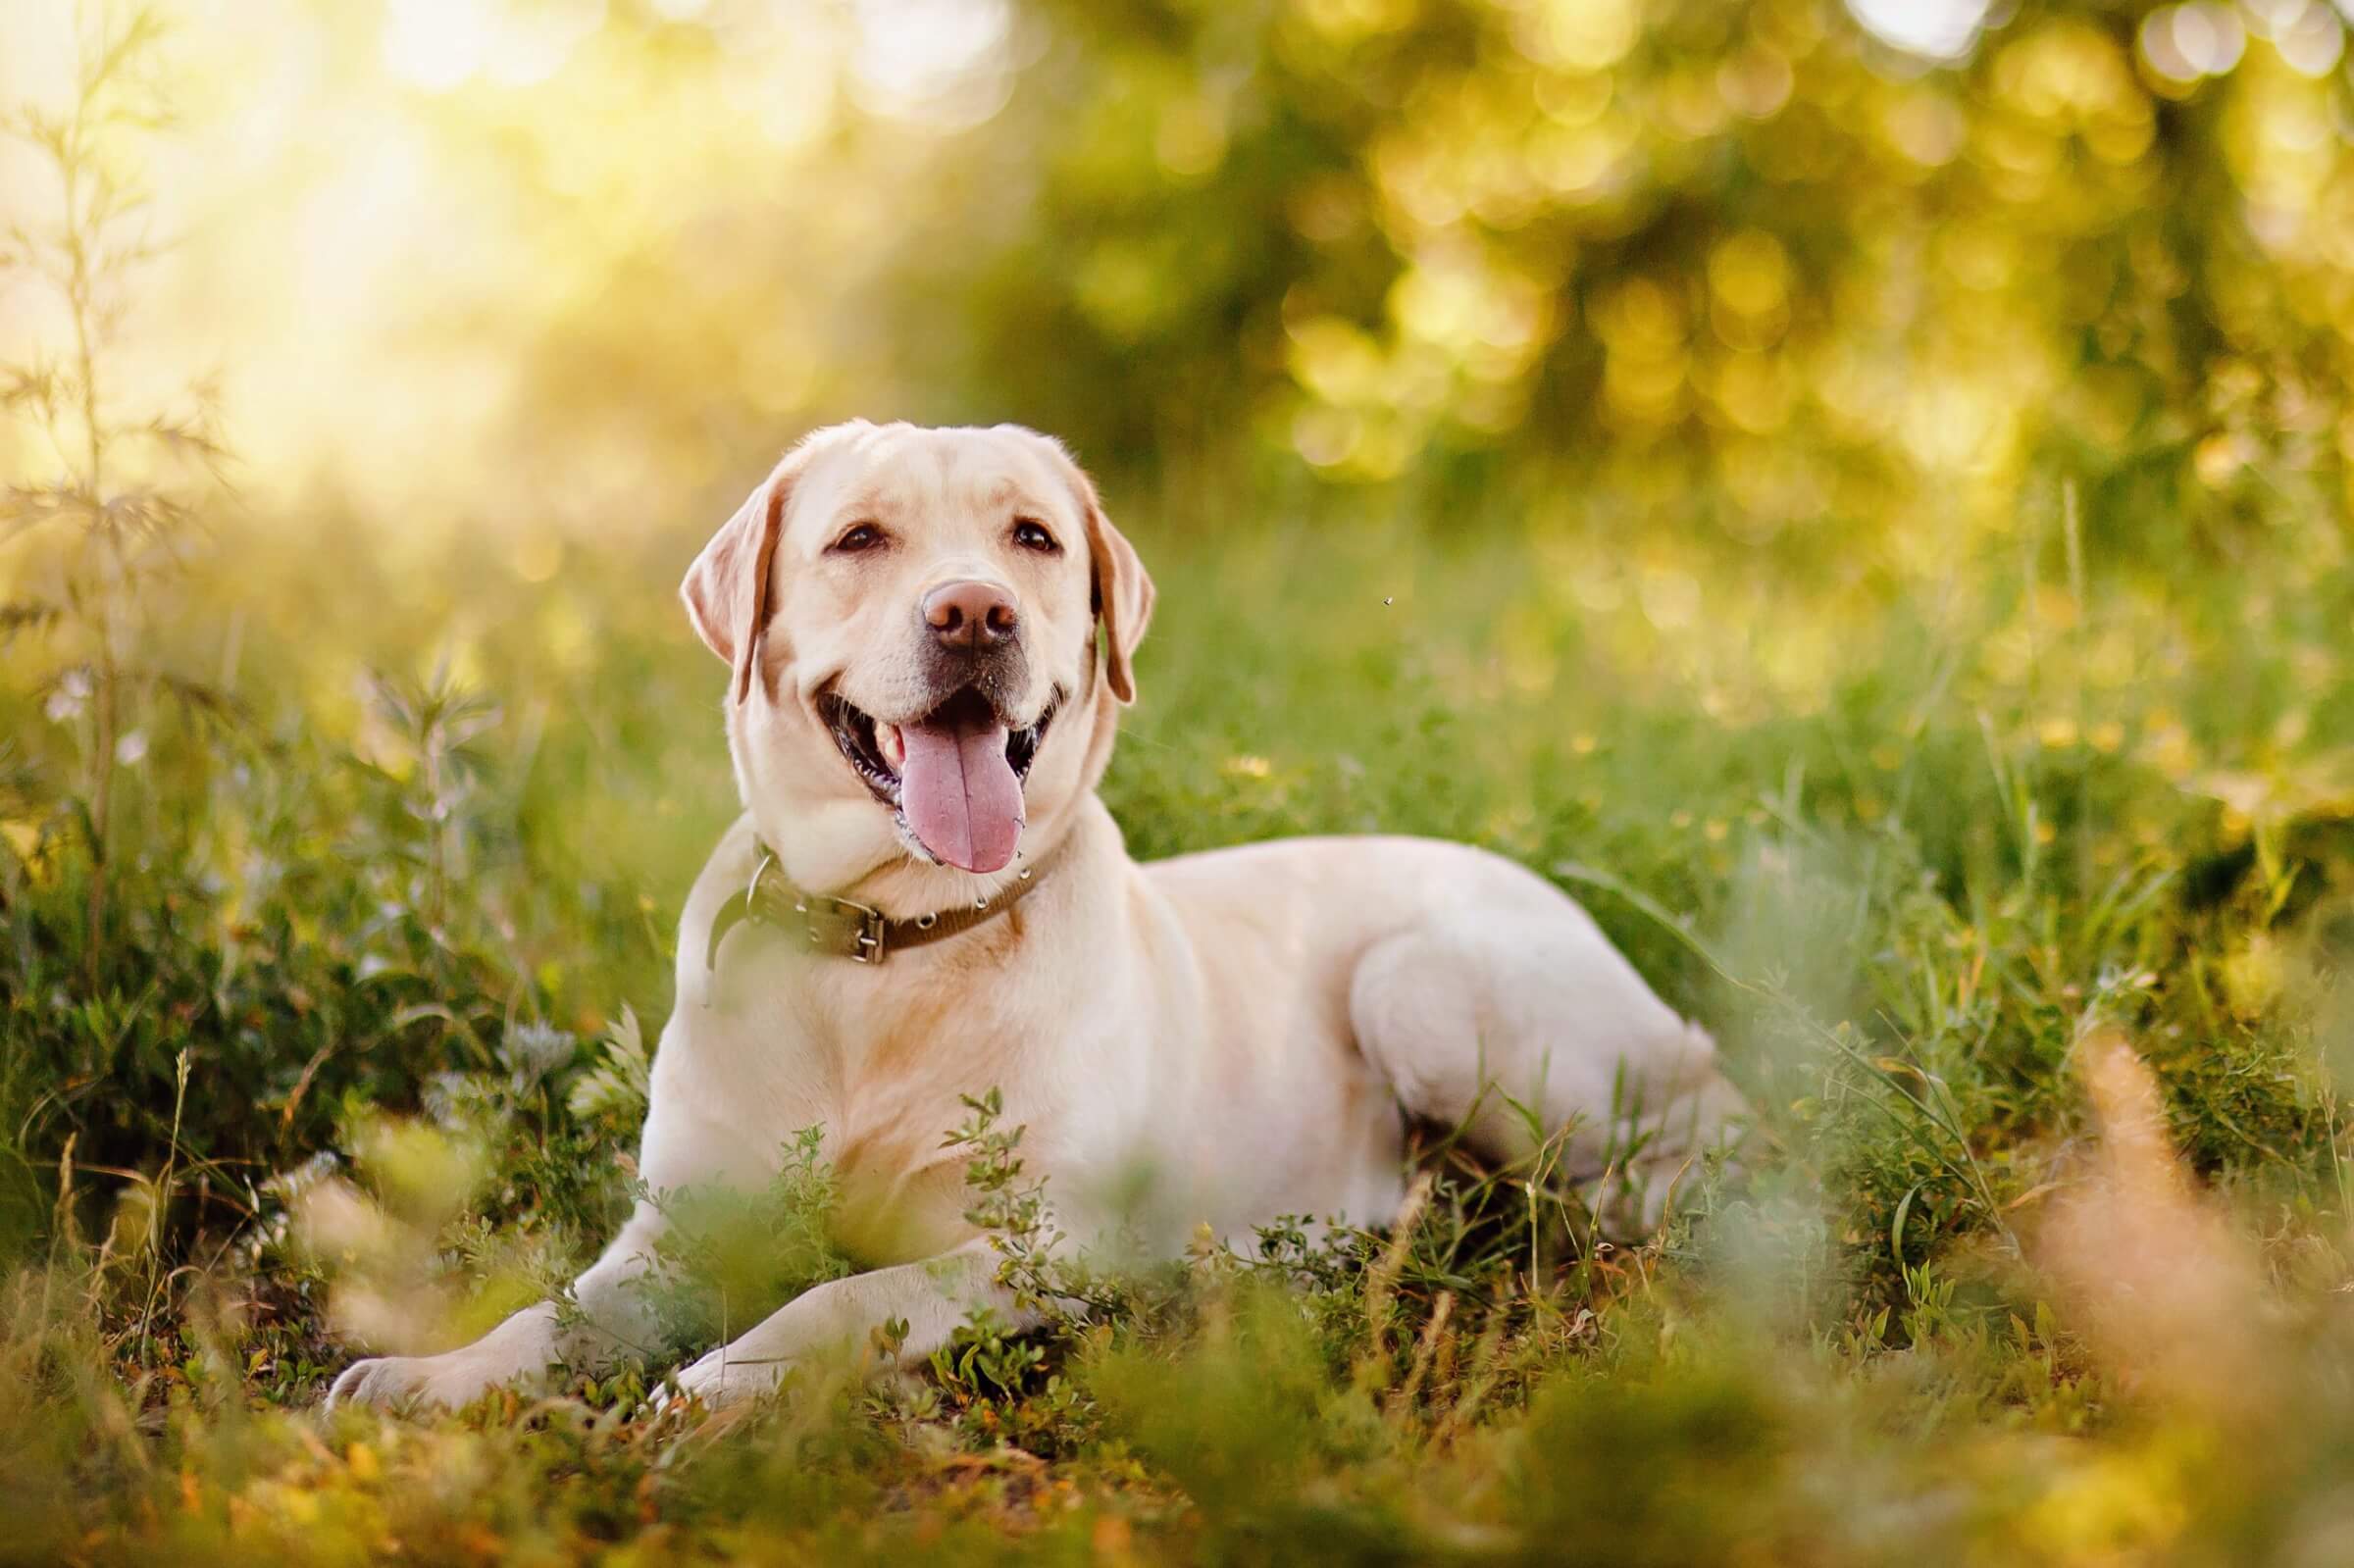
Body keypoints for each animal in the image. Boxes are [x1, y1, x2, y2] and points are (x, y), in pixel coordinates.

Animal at [322, 414, 1742, 1402]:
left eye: (1034, 539)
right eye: (860, 539)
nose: (973, 612)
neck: (887, 945)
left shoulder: (1030, 1243)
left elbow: (838, 1301)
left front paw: (719, 1383)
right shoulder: (674, 1235)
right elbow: (553, 1311)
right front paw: (431, 1378)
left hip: (1426, 987)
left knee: (1685, 1149)